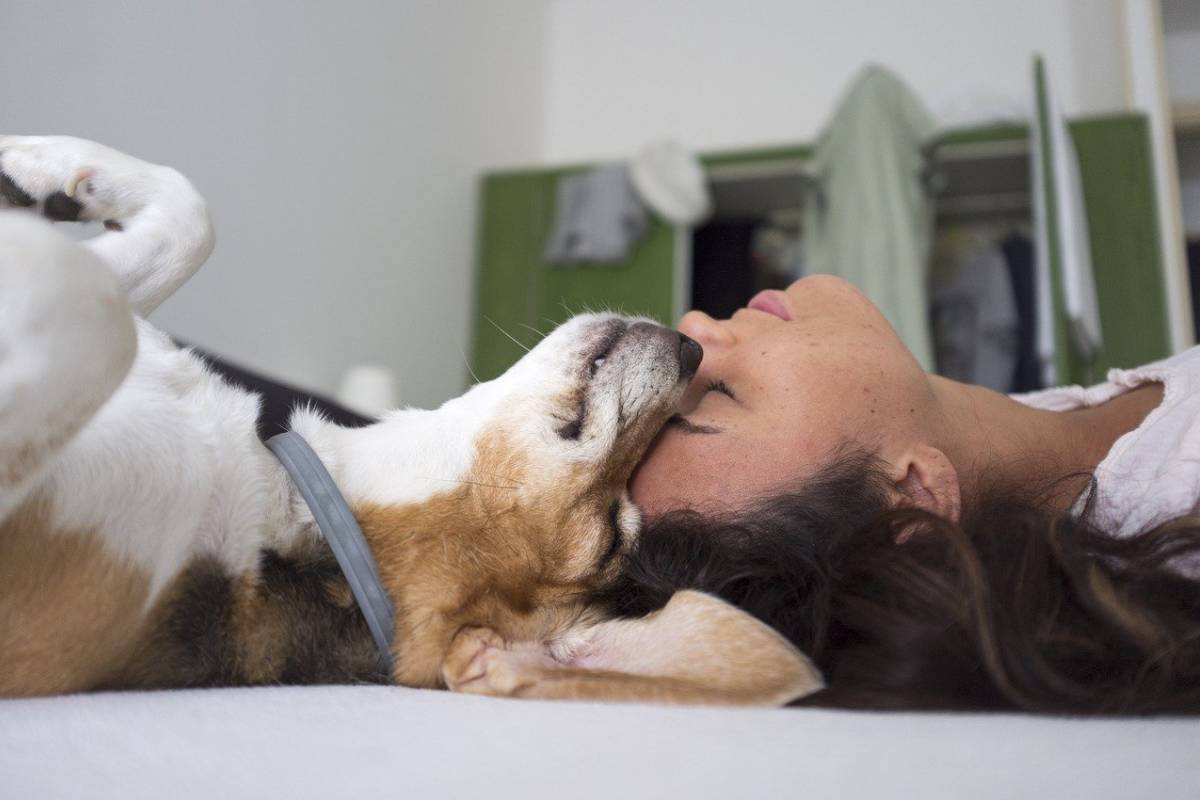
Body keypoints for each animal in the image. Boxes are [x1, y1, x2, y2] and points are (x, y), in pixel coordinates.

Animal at [0, 134, 820, 705]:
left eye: (616, 534)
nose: (693, 349)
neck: (304, 499)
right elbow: (188, 217)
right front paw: (37, 166)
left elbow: (91, 302)